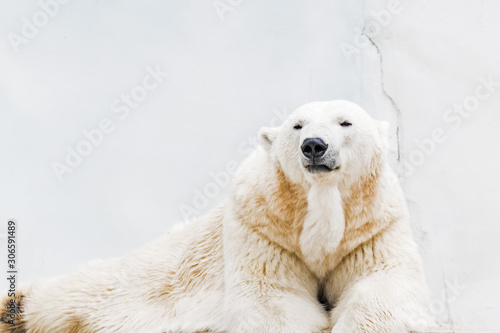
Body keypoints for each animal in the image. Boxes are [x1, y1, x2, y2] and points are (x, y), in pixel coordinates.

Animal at [0, 100, 434, 332]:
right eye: (297, 125)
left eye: (346, 122)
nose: (314, 145)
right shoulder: (262, 227)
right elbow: (271, 298)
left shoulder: (372, 227)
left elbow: (383, 284)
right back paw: (14, 308)